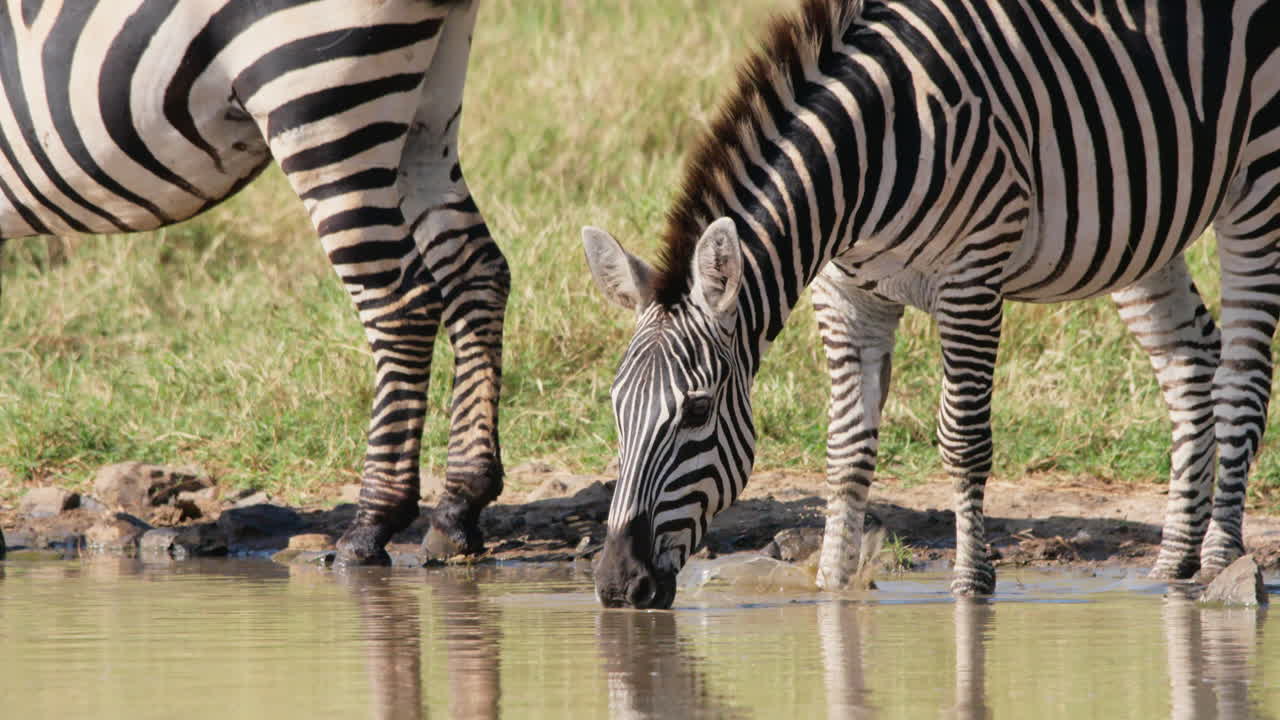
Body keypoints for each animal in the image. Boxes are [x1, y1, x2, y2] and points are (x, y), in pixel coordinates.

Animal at [0, 0, 509, 565]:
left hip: (316, 96)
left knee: (401, 305)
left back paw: (371, 526)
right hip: (424, 104)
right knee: (476, 271)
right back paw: (460, 504)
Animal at [584, 0, 1280, 608]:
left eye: (698, 410)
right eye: (614, 404)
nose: (617, 585)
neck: (865, 159)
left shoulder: (971, 274)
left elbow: (963, 440)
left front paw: (972, 587)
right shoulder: (846, 297)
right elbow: (846, 448)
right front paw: (832, 591)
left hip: (1259, 184)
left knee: (1241, 376)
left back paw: (1223, 563)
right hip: (1140, 223)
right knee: (1191, 362)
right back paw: (1172, 566)